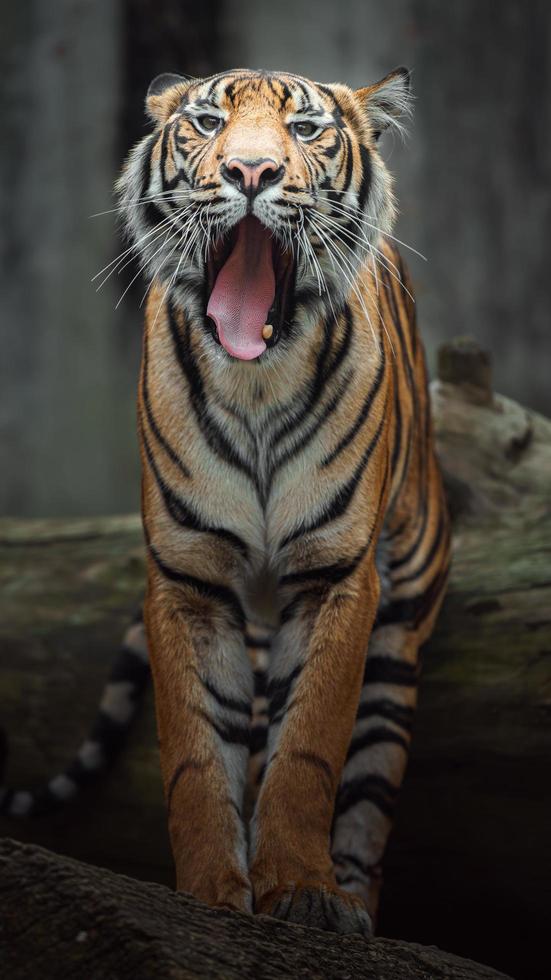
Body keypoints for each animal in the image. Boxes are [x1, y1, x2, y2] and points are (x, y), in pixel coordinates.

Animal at [0, 65, 450, 936]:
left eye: (304, 131)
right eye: (208, 124)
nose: (250, 172)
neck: (256, 383)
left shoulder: (335, 576)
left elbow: (308, 749)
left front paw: (304, 892)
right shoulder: (189, 579)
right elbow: (198, 755)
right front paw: (212, 891)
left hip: (401, 623)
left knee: (367, 785)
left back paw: (353, 898)